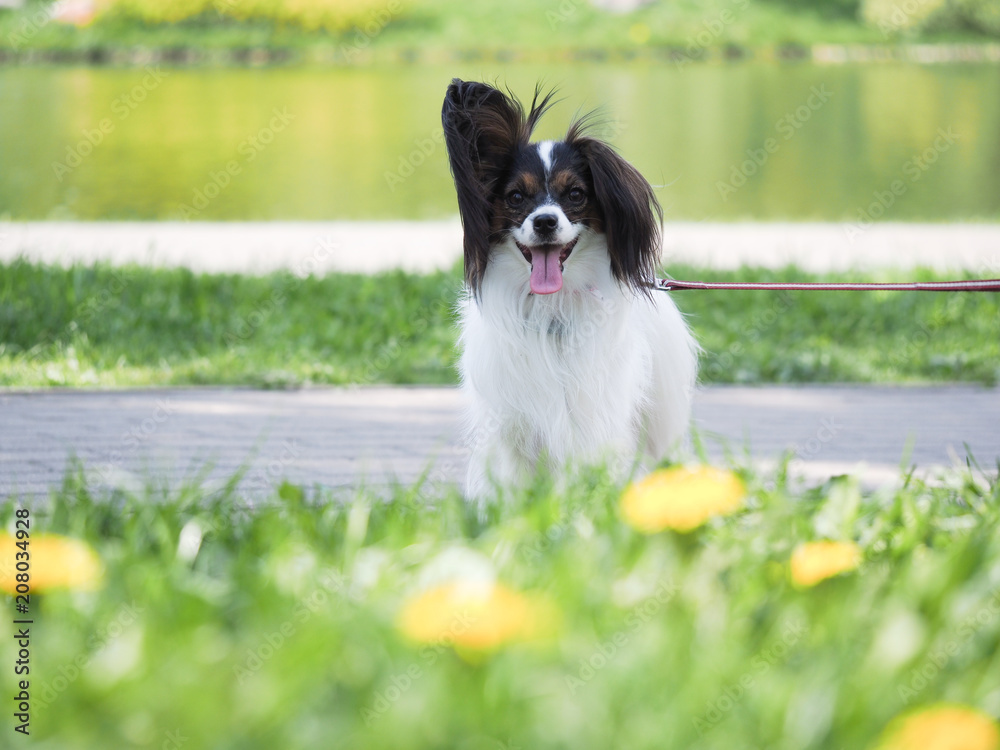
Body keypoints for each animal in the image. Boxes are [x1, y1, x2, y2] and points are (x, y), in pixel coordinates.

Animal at [442, 79, 700, 500]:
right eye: (516, 197)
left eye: (575, 194)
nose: (545, 222)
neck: (553, 308)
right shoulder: (513, 426)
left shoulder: (593, 418)